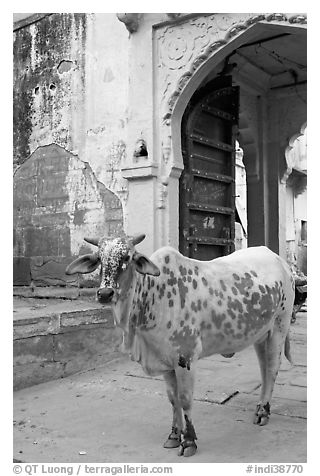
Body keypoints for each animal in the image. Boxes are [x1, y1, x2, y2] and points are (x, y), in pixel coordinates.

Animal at [66, 234, 296, 458]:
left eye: (127, 257)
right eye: (99, 258)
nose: (105, 293)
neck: (153, 295)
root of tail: (278, 259)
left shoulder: (185, 358)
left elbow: (185, 399)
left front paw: (189, 441)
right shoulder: (165, 361)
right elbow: (172, 399)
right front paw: (174, 435)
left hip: (279, 327)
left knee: (272, 369)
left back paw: (264, 411)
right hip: (260, 335)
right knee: (264, 369)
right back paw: (259, 408)